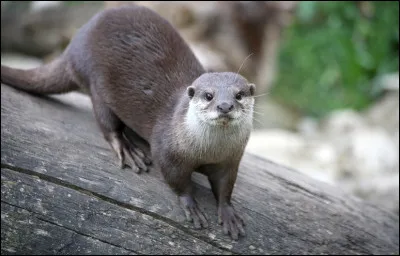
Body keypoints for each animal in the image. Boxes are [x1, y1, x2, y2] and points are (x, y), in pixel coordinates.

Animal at [0, 4, 253, 240]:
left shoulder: (230, 160)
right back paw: (128, 150)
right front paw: (191, 206)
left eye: (239, 95)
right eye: (209, 95)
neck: (208, 151)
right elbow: (177, 181)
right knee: (106, 124)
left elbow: (225, 187)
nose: (225, 106)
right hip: (97, 84)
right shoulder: (166, 151)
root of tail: (72, 49)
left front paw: (229, 214)